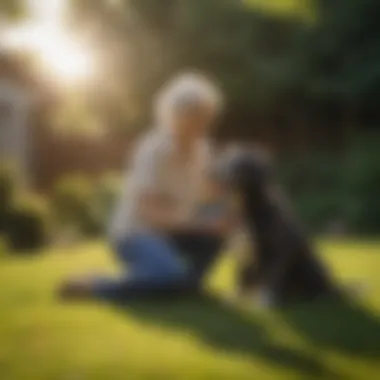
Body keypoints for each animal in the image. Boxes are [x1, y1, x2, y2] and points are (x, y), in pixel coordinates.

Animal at [215, 148, 336, 306]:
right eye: (229, 165)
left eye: (247, 166)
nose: (232, 180)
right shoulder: (242, 252)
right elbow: (241, 277)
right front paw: (236, 297)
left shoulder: (278, 251)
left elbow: (271, 278)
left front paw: (266, 300)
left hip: (310, 263)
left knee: (320, 287)